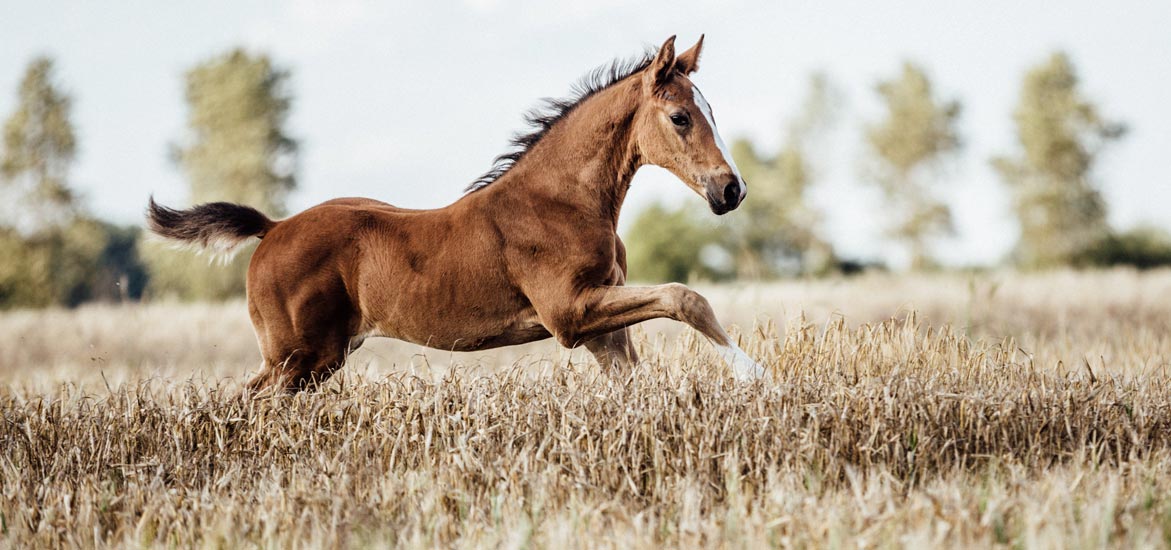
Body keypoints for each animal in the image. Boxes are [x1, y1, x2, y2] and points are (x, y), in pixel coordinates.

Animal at [146, 34, 768, 393]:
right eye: (681, 117)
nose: (731, 190)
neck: (559, 202)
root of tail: (272, 229)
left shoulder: (599, 326)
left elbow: (636, 379)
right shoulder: (569, 314)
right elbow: (685, 297)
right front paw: (755, 373)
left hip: (317, 360)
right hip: (296, 357)